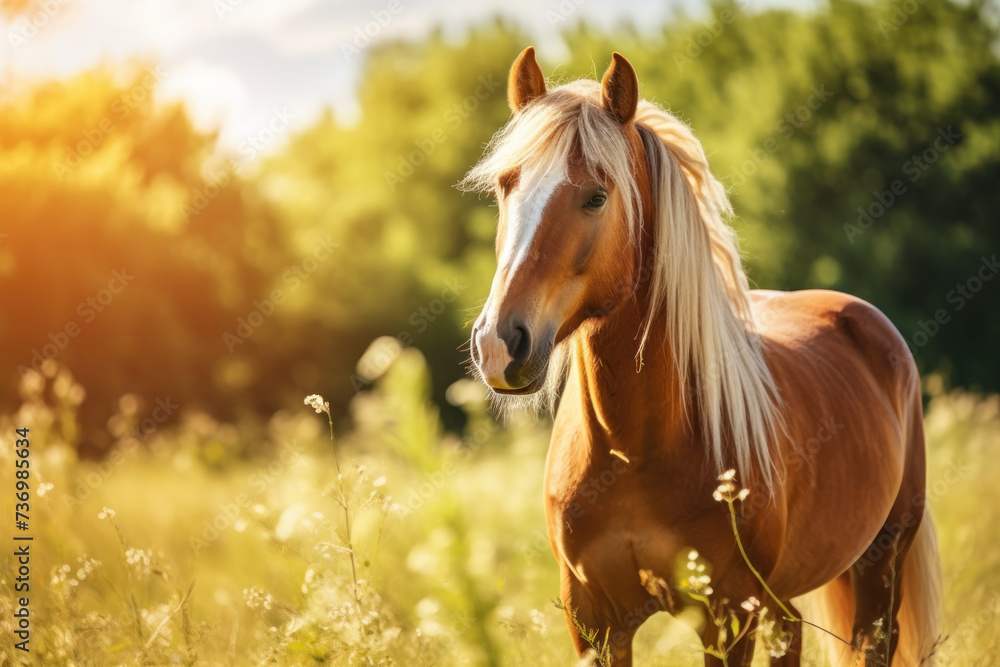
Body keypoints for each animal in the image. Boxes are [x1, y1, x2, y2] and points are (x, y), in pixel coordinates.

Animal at [463, 47, 942, 666]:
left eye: (596, 196)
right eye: (505, 187)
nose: (499, 343)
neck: (633, 451)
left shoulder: (726, 618)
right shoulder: (593, 625)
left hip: (881, 562)